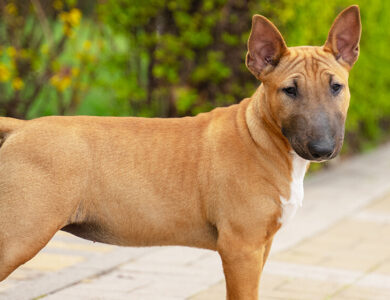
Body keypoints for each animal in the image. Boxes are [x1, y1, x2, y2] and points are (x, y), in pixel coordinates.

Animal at [0, 5, 360, 300]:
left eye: (336, 86)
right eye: (289, 90)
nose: (322, 149)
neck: (261, 137)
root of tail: (21, 128)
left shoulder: (262, 244)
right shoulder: (240, 246)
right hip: (19, 234)